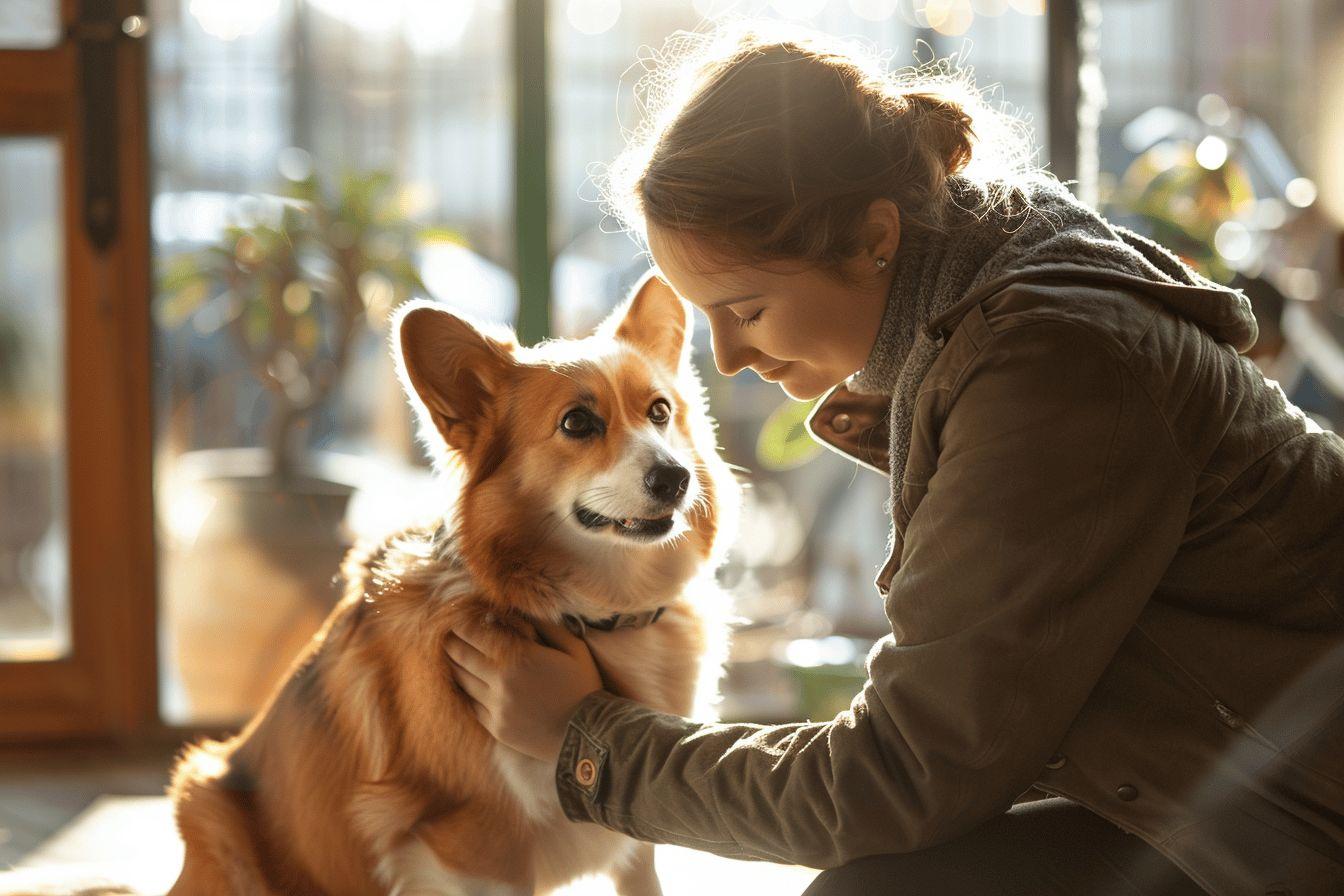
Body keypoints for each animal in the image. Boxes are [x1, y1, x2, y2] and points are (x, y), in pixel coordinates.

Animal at [168, 274, 741, 896]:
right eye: (577, 423)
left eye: (660, 411)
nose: (675, 478)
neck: (594, 613)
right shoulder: (477, 851)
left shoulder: (631, 841)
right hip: (211, 810)